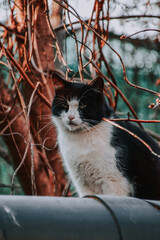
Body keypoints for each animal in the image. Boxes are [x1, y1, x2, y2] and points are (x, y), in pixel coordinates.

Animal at [51, 72, 160, 200]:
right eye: (64, 104)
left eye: (83, 105)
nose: (71, 117)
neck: (80, 138)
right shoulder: (82, 183)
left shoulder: (115, 181)